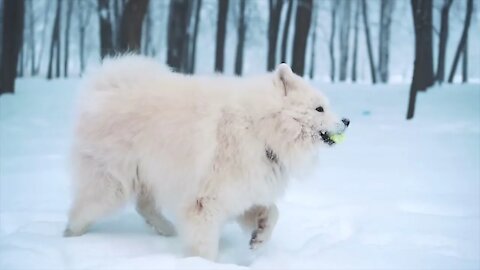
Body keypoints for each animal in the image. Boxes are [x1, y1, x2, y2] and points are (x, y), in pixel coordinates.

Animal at [63, 54, 348, 260]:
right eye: (319, 108)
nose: (346, 121)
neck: (258, 128)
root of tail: (104, 87)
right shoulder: (206, 202)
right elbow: (205, 245)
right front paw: (203, 262)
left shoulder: (242, 192)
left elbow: (273, 212)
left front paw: (259, 237)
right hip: (111, 185)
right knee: (83, 209)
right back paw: (70, 237)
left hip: (151, 173)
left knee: (144, 206)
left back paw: (167, 230)